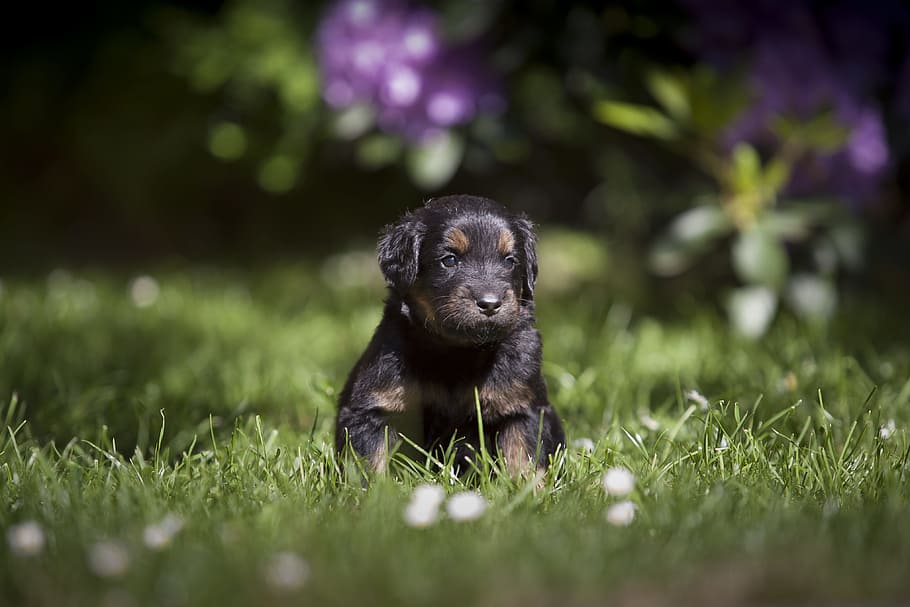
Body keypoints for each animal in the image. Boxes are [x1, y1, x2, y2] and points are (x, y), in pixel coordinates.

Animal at [336, 195, 564, 476]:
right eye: (450, 259)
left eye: (510, 260)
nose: (490, 304)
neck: (459, 352)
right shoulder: (374, 408)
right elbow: (370, 462)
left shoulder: (523, 407)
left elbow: (523, 458)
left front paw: (527, 488)